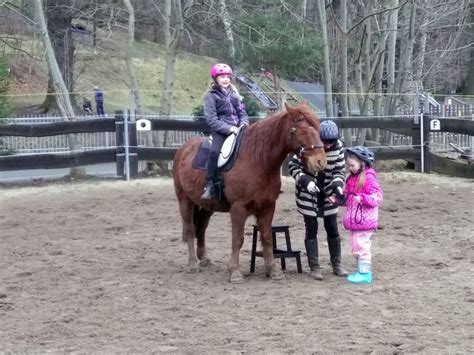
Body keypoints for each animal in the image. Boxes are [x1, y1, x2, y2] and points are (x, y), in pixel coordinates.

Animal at [172, 103, 328, 284]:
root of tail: (183, 149)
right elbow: (238, 239)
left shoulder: (268, 206)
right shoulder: (238, 208)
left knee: (201, 228)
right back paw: (192, 264)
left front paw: (274, 271)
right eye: (303, 131)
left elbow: (267, 237)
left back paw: (203, 259)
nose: (320, 162)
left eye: (318, 129)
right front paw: (234, 272)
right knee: (190, 230)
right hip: (184, 200)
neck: (257, 159)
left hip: (206, 206)